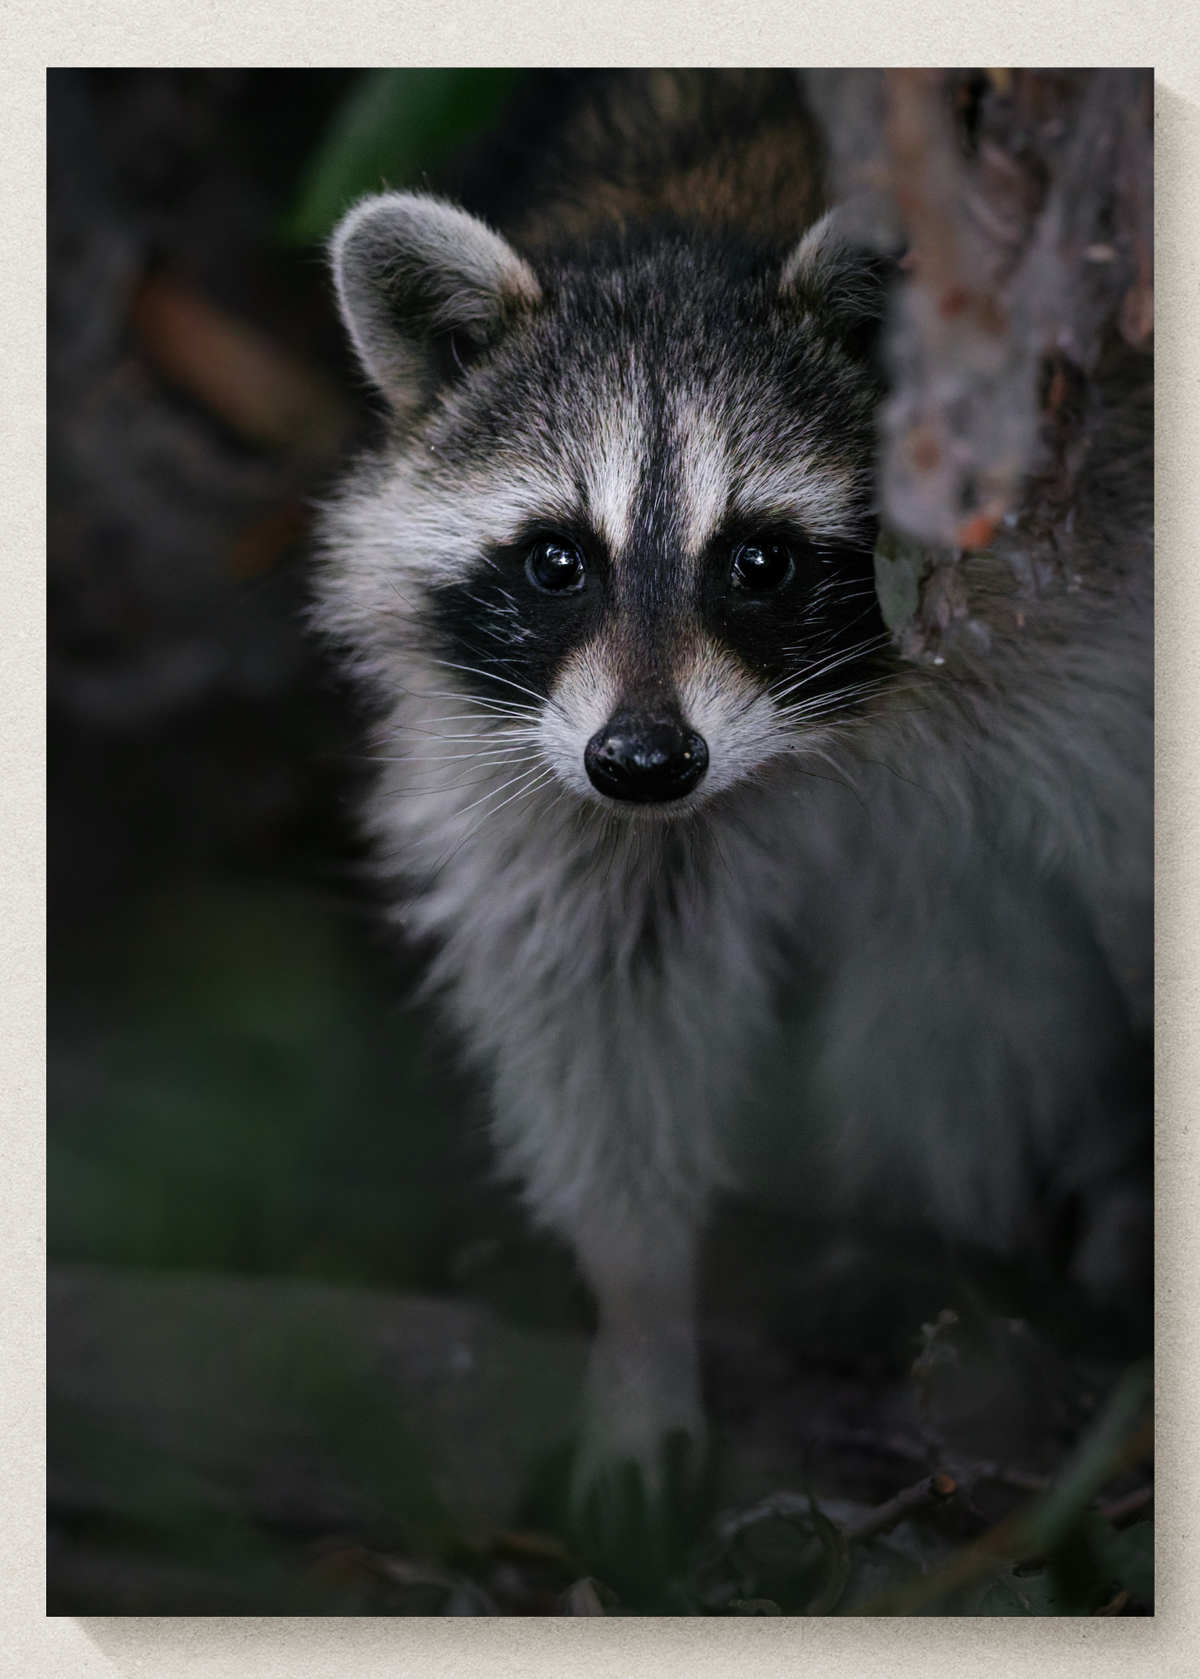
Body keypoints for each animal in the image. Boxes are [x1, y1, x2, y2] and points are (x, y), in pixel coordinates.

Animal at [314, 72, 1152, 1490]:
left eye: (759, 560)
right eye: (558, 560)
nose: (647, 763)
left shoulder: (1081, 619)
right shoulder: (544, 770)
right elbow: (598, 992)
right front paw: (642, 1309)